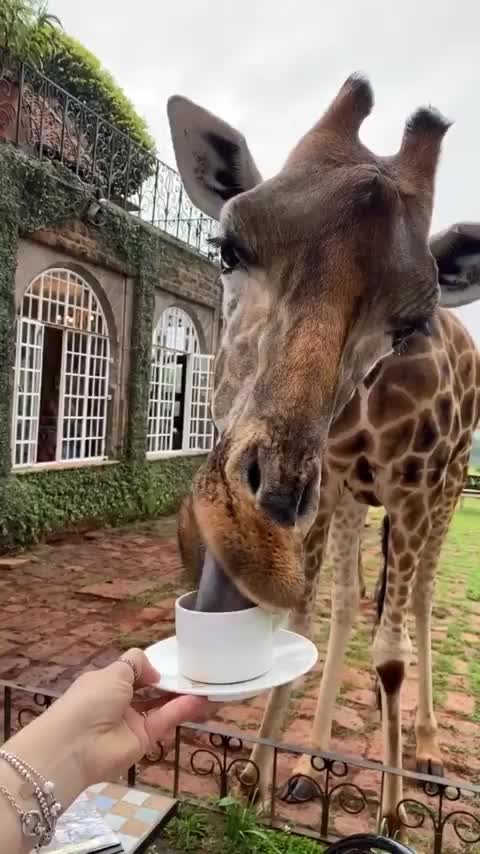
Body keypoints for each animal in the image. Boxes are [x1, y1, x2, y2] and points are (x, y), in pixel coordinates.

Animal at [168, 76, 480, 832]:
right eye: (227, 248)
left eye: (409, 322)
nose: (240, 543)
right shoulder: (332, 485)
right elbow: (305, 618)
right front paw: (255, 778)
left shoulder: (411, 491)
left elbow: (391, 655)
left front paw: (392, 820)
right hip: (355, 503)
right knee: (347, 604)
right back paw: (311, 767)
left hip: (448, 489)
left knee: (419, 600)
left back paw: (428, 753)